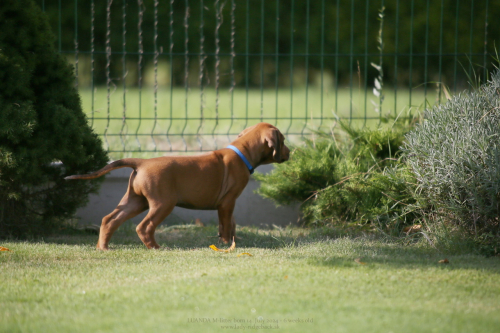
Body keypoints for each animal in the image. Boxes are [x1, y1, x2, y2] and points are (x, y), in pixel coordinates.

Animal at [65, 122, 290, 249]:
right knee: (144, 227)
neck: (242, 152)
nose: (290, 153)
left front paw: (232, 241)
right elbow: (227, 225)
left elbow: (229, 224)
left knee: (109, 220)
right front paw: (228, 244)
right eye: (283, 140)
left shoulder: (227, 204)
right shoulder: (228, 202)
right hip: (163, 203)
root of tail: (141, 162)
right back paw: (156, 248)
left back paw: (102, 247)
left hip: (135, 201)